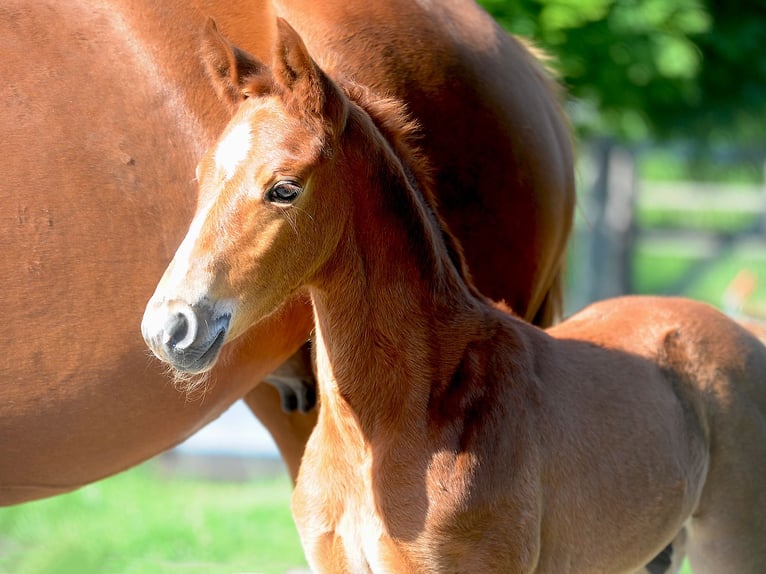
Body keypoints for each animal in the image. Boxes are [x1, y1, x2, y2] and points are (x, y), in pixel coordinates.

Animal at [146, 18, 766, 574]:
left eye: (284, 188)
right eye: (200, 176)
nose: (170, 327)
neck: (391, 428)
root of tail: (741, 329)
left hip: (731, 548)